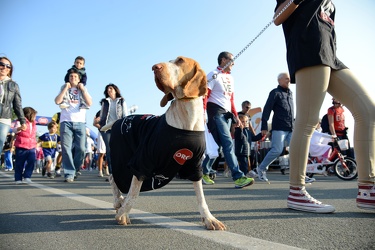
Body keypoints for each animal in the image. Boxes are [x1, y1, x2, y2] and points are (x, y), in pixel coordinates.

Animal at [108, 56, 226, 230]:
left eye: (180, 60)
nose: (154, 67)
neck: (187, 119)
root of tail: (118, 121)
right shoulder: (142, 161)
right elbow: (133, 194)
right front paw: (123, 214)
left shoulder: (195, 166)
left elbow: (201, 197)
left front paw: (209, 219)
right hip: (121, 159)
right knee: (113, 179)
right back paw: (118, 201)